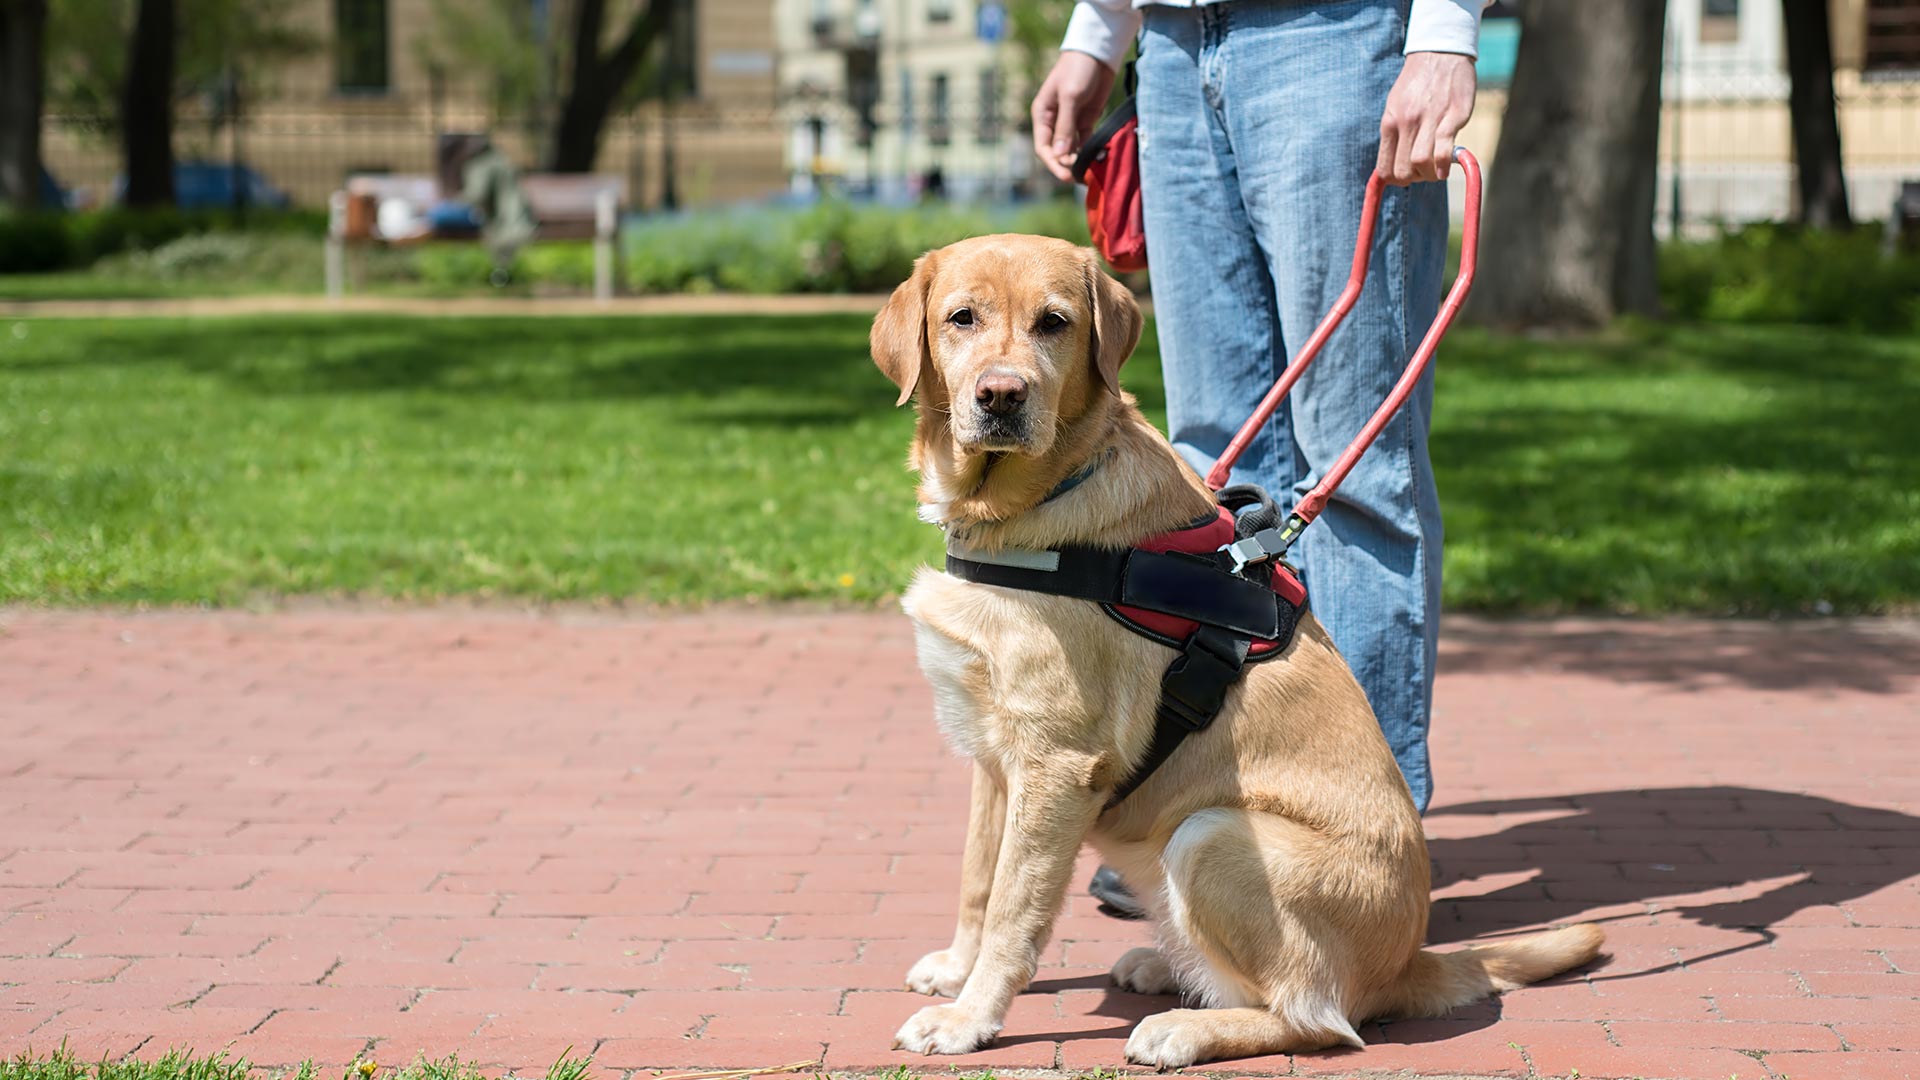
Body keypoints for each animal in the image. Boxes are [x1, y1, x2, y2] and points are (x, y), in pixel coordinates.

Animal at [875, 231, 1605, 1060]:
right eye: (961, 318)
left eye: (1053, 323)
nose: (1001, 395)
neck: (1024, 509)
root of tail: (1406, 961)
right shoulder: (996, 756)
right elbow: (977, 878)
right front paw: (955, 971)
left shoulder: (1057, 764)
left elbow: (1011, 910)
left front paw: (970, 1017)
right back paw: (1164, 968)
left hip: (1212, 834)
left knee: (1318, 1018)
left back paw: (1184, 1027)